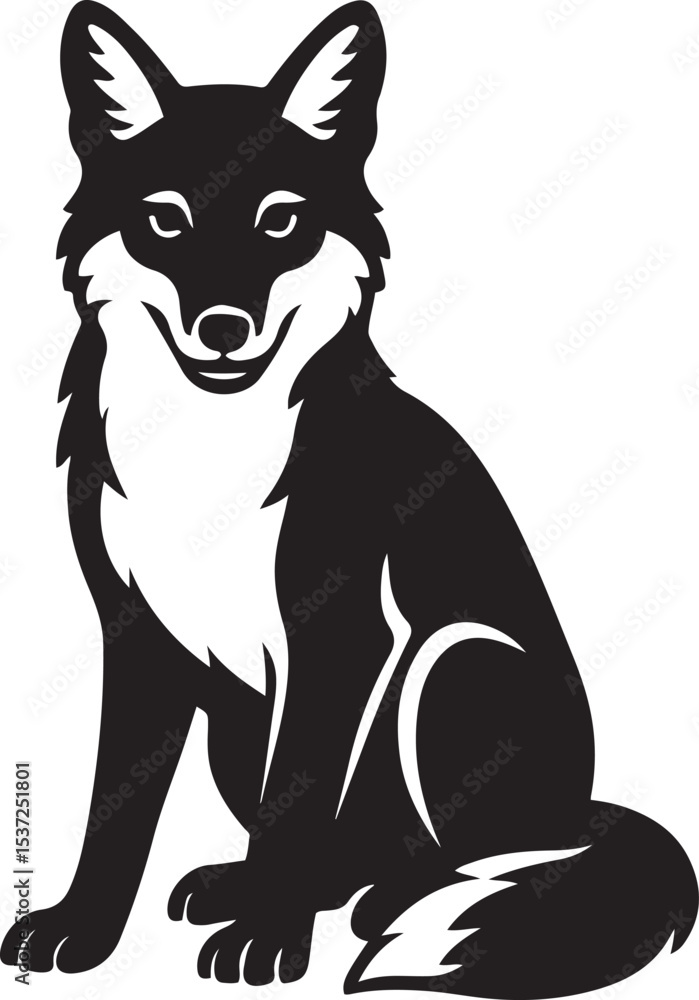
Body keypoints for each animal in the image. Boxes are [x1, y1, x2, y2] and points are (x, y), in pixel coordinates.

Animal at [2, 1, 697, 995]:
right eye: (164, 221)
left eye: (280, 221)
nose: (224, 328)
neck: (212, 453)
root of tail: (582, 813)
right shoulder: (137, 638)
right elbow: (116, 812)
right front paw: (84, 932)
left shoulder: (337, 633)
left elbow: (292, 813)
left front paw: (266, 942)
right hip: (237, 722)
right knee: (338, 854)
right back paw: (251, 888)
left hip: (454, 660)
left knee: (449, 860)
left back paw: (386, 907)